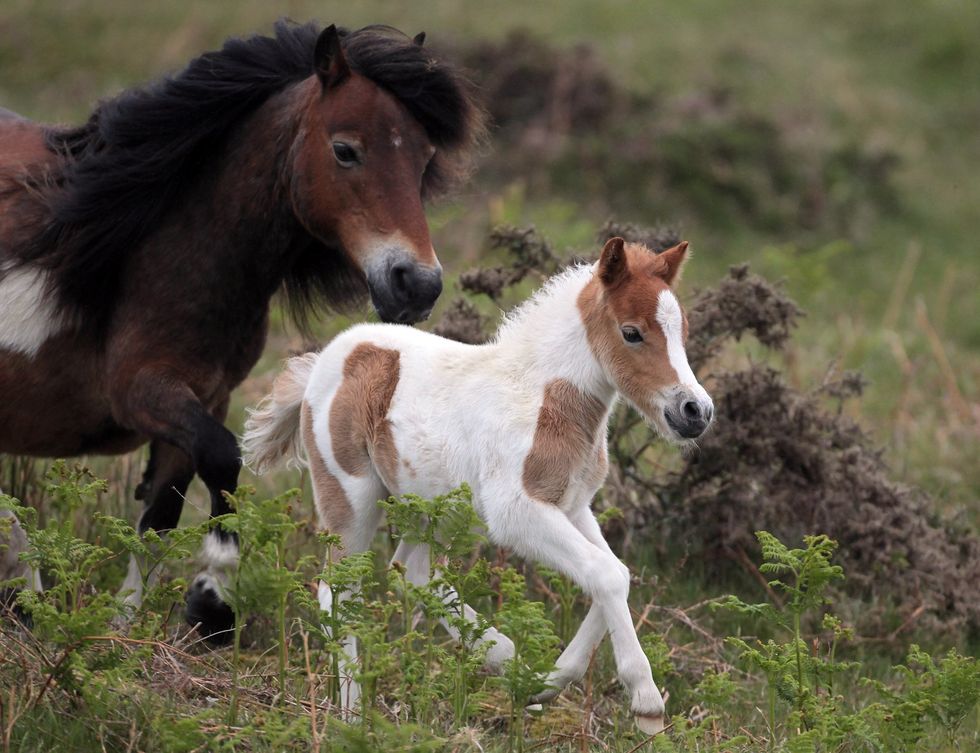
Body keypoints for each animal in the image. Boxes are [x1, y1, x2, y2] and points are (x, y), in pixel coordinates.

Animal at [0, 20, 483, 640]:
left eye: (424, 161)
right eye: (345, 150)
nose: (417, 285)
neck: (158, 255)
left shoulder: (205, 397)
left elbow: (162, 516)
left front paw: (137, 624)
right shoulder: (139, 391)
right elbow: (224, 457)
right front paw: (212, 600)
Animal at [241, 236, 714, 733]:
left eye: (681, 331)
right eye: (632, 333)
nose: (695, 412)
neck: (543, 398)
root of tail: (324, 361)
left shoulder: (572, 507)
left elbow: (614, 574)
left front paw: (545, 681)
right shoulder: (517, 512)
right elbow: (606, 575)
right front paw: (646, 701)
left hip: (432, 508)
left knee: (411, 570)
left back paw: (505, 660)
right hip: (351, 497)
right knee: (340, 591)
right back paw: (352, 716)